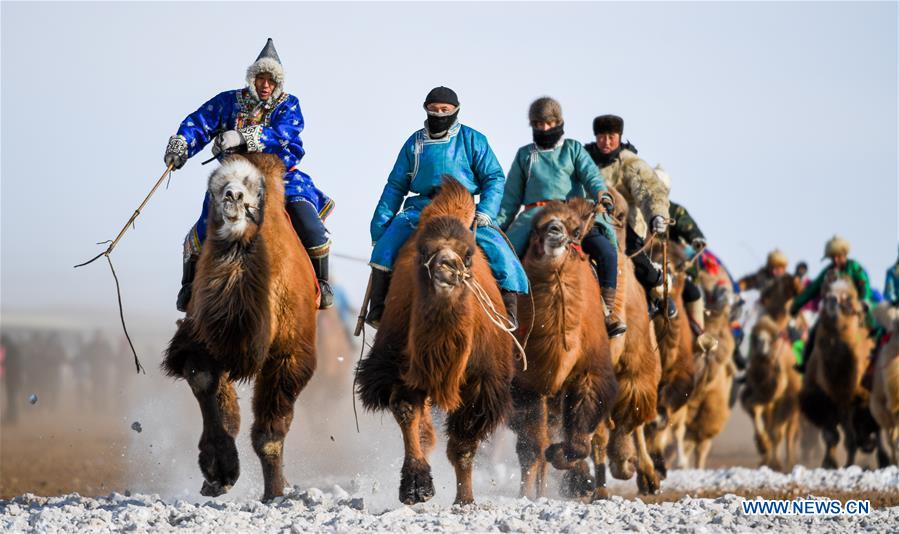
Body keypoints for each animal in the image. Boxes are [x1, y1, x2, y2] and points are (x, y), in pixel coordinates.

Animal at [162, 154, 320, 502]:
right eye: (214, 187)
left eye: (255, 191)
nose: (232, 196)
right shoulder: (202, 337)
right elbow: (205, 382)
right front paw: (219, 471)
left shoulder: (289, 353)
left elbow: (269, 435)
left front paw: (274, 495)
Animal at [356, 177, 516, 506]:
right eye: (422, 251)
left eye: (468, 254)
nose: (445, 269)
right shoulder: (399, 368)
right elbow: (408, 413)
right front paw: (416, 486)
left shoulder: (482, 384)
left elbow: (464, 444)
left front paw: (465, 500)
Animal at [510, 198, 624, 502]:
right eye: (535, 228)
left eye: (575, 231)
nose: (555, 231)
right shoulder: (526, 384)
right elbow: (531, 447)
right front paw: (527, 493)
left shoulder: (589, 372)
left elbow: (578, 441)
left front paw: (578, 476)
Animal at [740, 274, 800, 472]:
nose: (761, 344)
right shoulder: (759, 391)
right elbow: (754, 409)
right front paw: (763, 448)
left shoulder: (786, 397)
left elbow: (777, 432)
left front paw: (776, 462)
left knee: (789, 432)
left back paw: (789, 461)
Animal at [800, 276, 884, 468]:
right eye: (825, 293)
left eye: (849, 297)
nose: (832, 299)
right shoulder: (825, 400)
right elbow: (833, 436)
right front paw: (830, 464)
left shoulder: (860, 400)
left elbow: (859, 436)